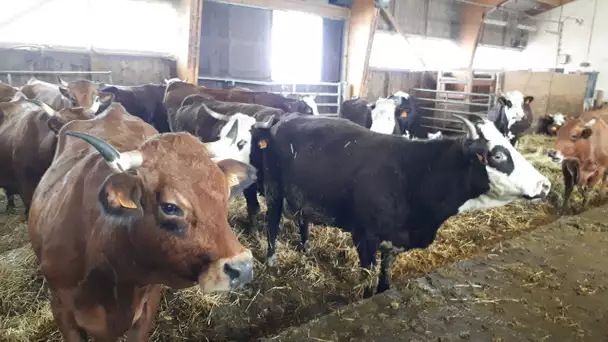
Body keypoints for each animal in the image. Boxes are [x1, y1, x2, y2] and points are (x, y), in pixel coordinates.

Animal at [255, 111, 552, 298]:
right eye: (498, 155)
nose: (545, 185)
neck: (414, 173)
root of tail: (285, 117)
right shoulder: (365, 237)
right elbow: (367, 280)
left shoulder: (394, 242)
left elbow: (385, 279)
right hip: (274, 188)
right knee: (272, 224)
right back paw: (271, 261)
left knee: (302, 218)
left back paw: (305, 248)